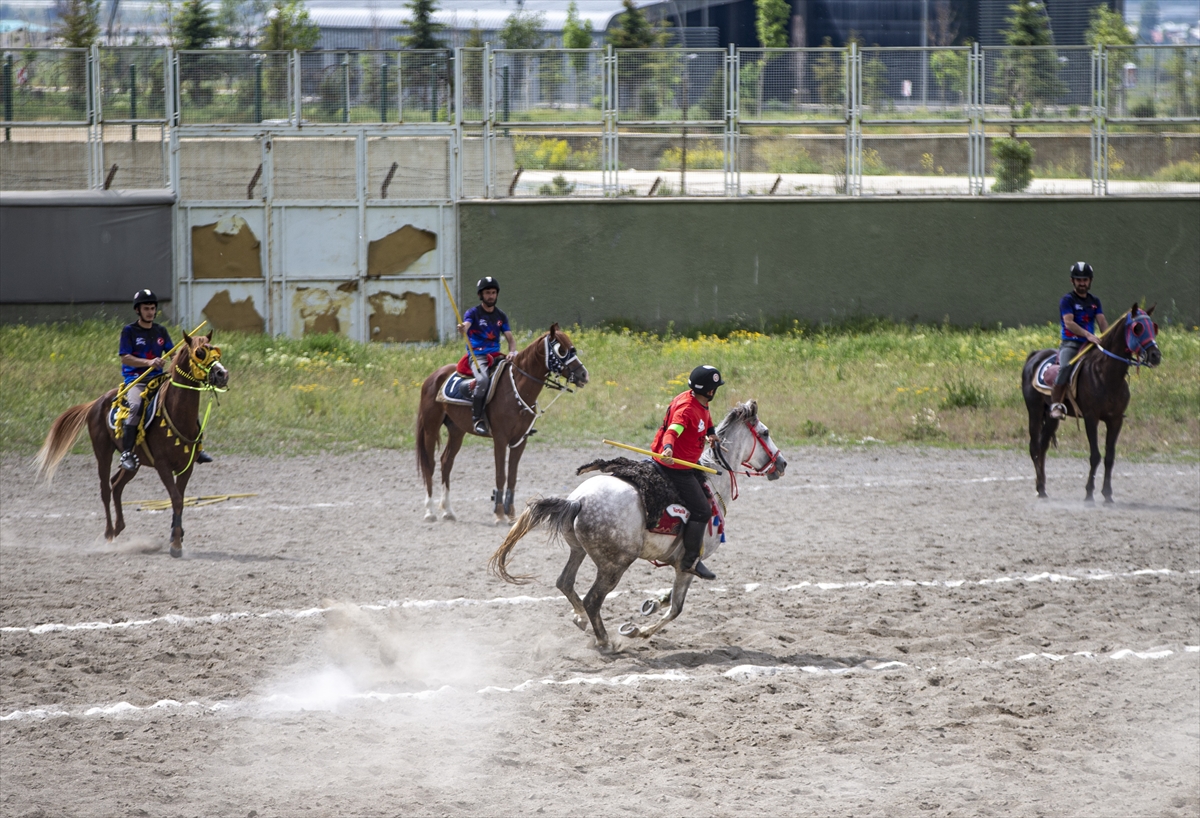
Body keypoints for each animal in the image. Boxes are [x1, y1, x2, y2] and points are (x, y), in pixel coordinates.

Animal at [34, 331, 229, 554]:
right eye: (200, 352)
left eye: (216, 350)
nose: (222, 374)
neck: (176, 414)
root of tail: (96, 402)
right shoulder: (162, 465)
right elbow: (176, 499)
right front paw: (176, 544)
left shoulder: (186, 467)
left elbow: (178, 498)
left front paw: (176, 535)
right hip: (102, 451)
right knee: (105, 489)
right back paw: (109, 534)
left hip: (134, 463)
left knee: (116, 484)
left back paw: (118, 527)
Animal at [417, 323, 590, 522]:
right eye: (561, 350)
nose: (584, 374)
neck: (517, 390)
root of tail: (433, 376)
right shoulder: (500, 439)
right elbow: (500, 474)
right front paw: (499, 512)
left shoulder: (520, 441)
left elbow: (512, 476)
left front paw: (511, 512)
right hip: (430, 428)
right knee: (430, 465)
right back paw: (430, 511)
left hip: (457, 430)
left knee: (446, 462)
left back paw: (448, 510)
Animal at [487, 398, 787, 647]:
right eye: (765, 433)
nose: (782, 464)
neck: (712, 481)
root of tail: (578, 501)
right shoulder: (688, 563)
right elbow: (676, 608)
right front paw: (639, 631)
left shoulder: (678, 562)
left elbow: (669, 601)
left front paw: (654, 603)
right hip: (615, 564)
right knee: (593, 599)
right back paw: (606, 642)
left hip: (579, 550)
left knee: (565, 583)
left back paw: (581, 619)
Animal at [1022, 302, 1161, 501]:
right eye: (1138, 328)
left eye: (1153, 327)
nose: (1156, 355)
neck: (1106, 374)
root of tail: (1035, 355)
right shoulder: (1091, 418)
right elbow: (1095, 456)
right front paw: (1089, 494)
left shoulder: (1115, 420)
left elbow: (1110, 457)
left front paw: (1107, 495)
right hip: (1034, 410)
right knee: (1034, 447)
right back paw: (1040, 489)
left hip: (1051, 416)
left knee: (1043, 446)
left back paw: (1042, 487)